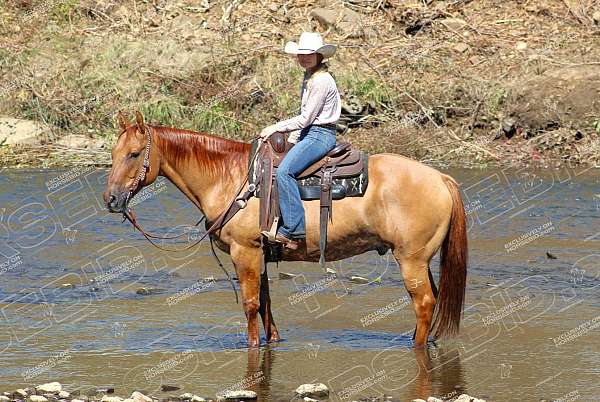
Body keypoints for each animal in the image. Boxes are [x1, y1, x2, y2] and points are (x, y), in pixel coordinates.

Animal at [103, 110, 468, 348]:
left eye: (134, 154)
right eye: (113, 153)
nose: (111, 199)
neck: (231, 179)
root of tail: (441, 178)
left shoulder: (245, 252)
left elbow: (251, 305)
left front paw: (251, 346)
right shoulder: (260, 255)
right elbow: (266, 305)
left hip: (411, 259)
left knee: (423, 303)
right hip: (421, 259)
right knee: (433, 300)